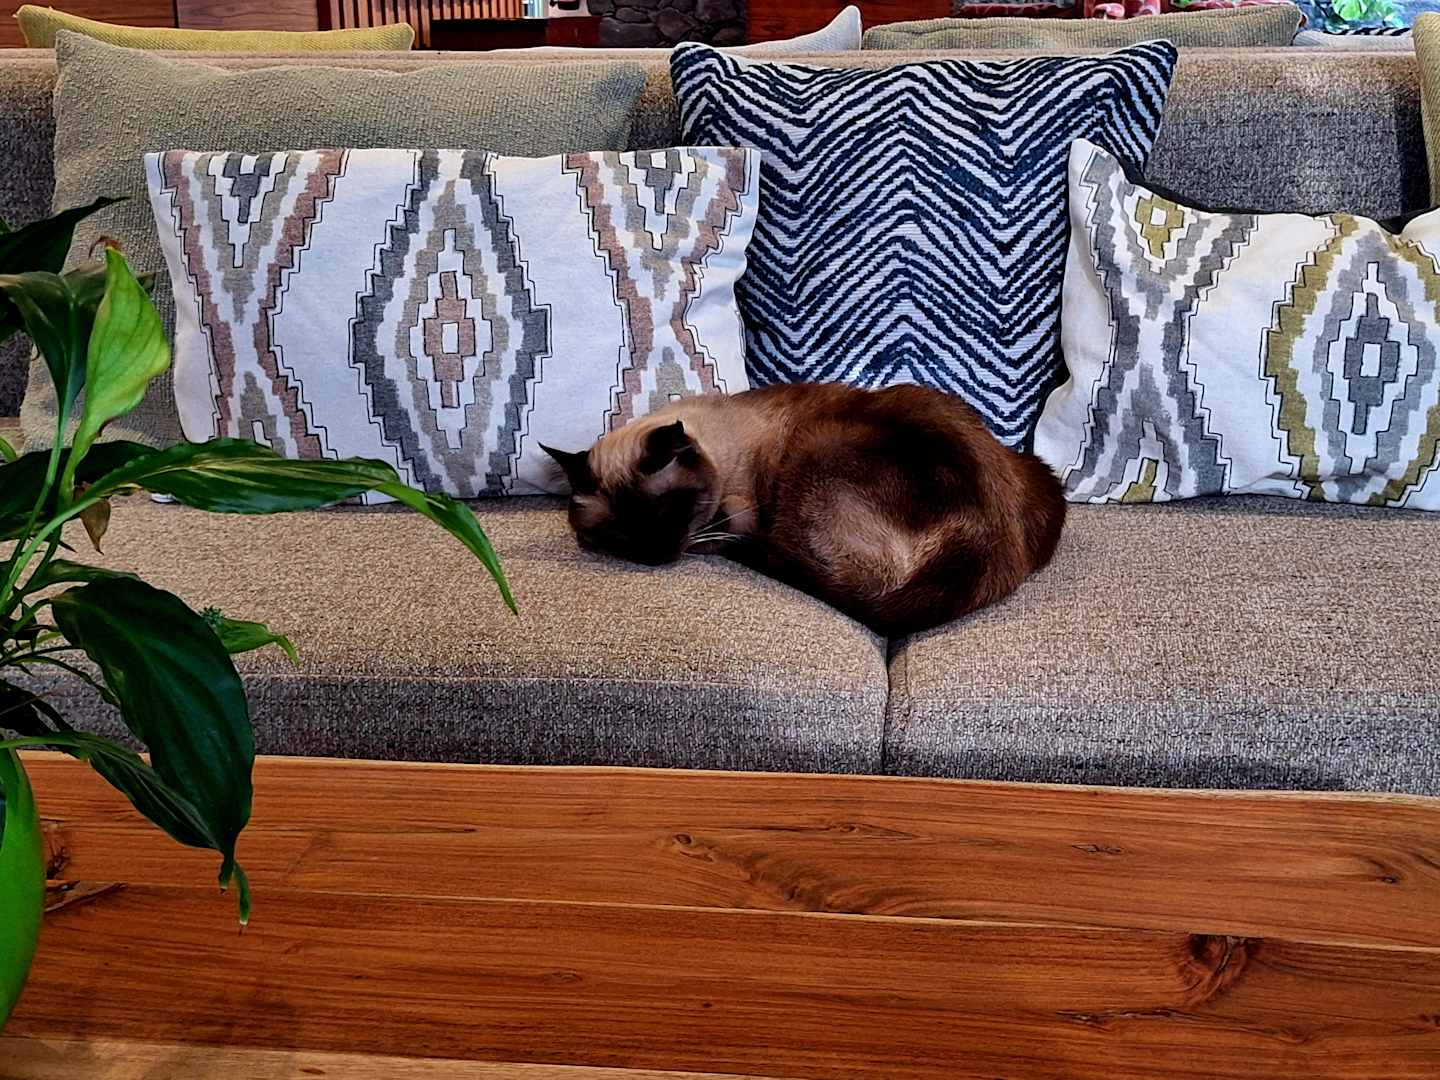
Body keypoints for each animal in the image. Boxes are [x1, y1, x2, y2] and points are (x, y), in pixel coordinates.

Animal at [542, 383, 1065, 635]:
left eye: (669, 514)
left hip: (817, 446)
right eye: (621, 534)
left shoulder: (738, 513)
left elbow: (728, 529)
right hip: (1038, 477)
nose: (658, 556)